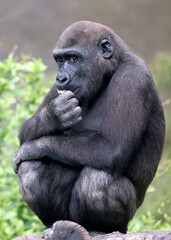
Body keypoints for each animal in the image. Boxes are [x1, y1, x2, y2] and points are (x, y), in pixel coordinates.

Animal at [12, 20, 165, 234]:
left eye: (74, 58)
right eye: (60, 60)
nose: (61, 78)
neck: (113, 66)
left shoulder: (132, 79)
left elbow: (111, 148)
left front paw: (34, 147)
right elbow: (26, 132)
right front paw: (54, 116)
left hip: (124, 219)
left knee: (98, 178)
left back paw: (100, 228)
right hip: (66, 217)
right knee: (30, 168)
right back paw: (51, 222)